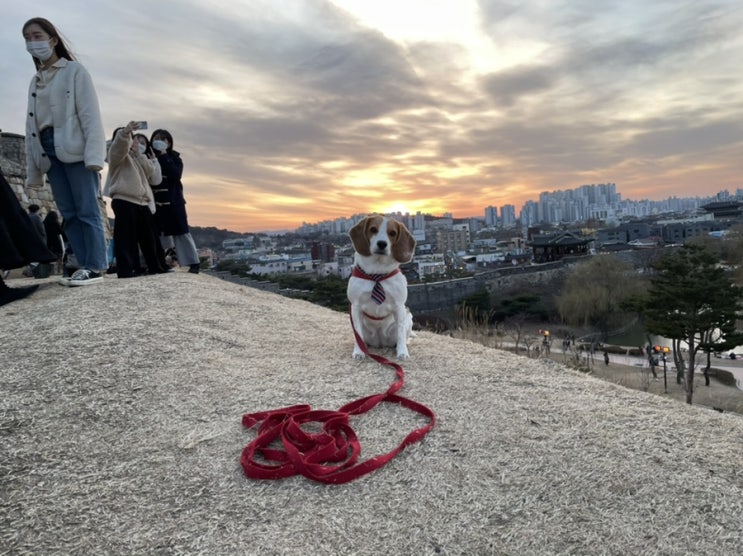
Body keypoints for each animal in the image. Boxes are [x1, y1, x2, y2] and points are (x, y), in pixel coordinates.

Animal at [346, 213, 416, 360]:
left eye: (392, 233)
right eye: (373, 229)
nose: (382, 243)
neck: (377, 273)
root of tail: (380, 343)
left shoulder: (399, 306)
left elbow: (400, 333)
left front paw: (402, 352)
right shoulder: (355, 306)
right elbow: (357, 333)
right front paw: (359, 351)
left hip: (408, 317)